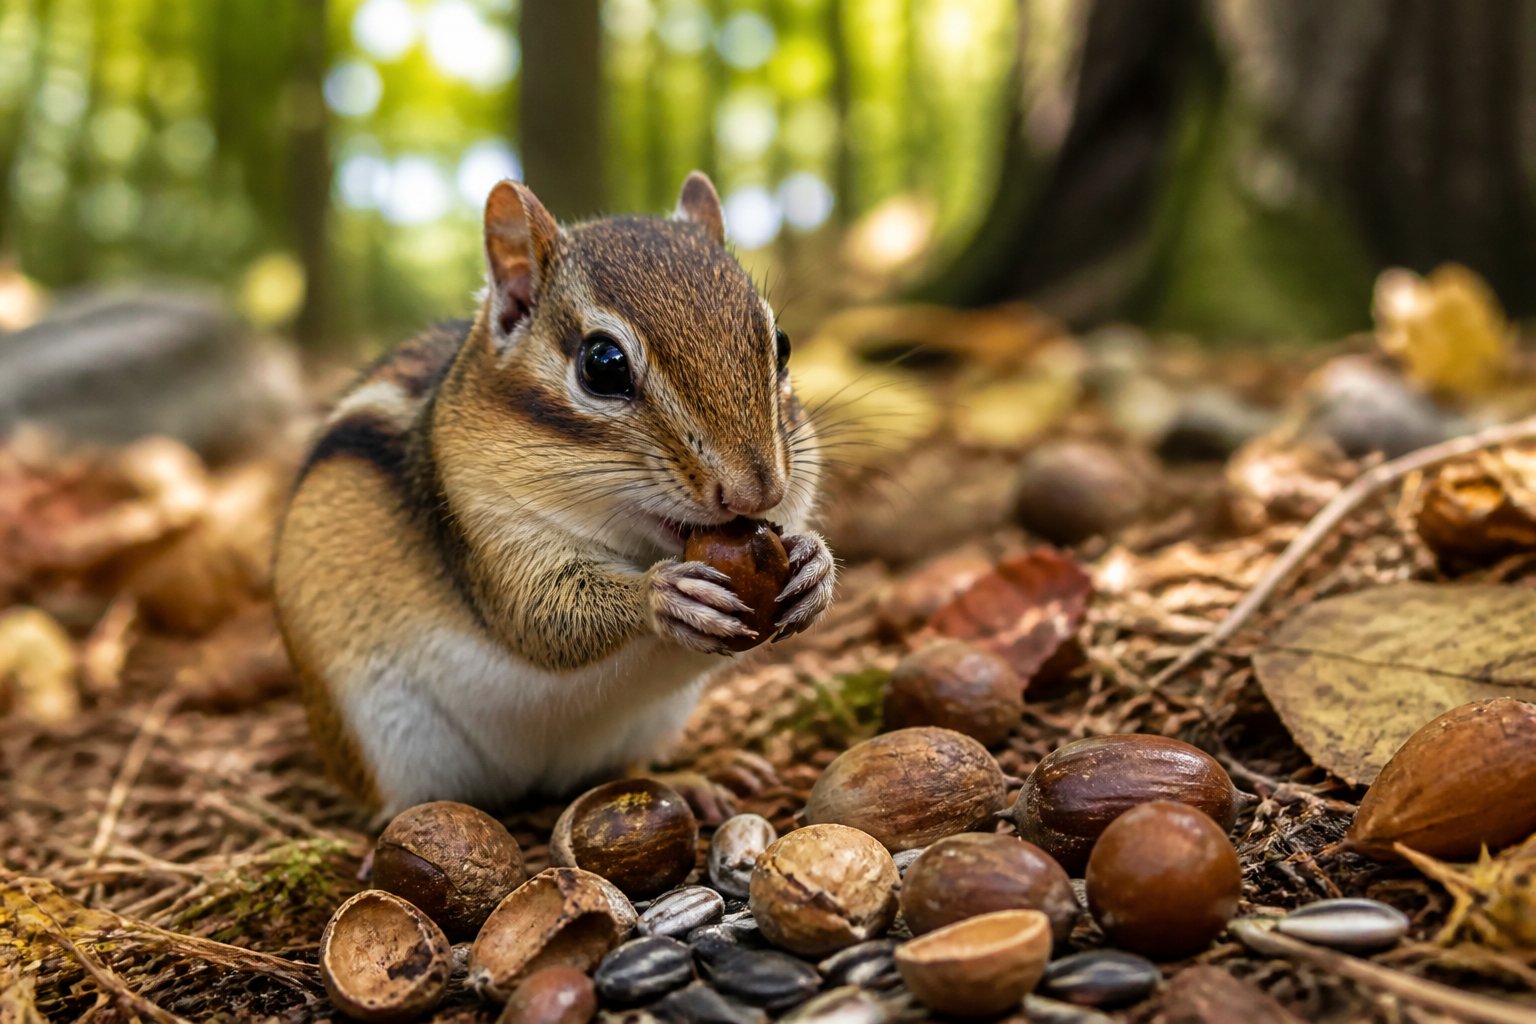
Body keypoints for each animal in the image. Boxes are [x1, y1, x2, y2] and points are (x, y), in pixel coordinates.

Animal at [274, 173, 836, 817]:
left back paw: (701, 778)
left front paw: (815, 566)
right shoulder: (484, 527)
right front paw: (661, 594)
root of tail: (529, 779)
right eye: (603, 364)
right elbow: (541, 618)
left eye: (782, 344)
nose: (757, 491)